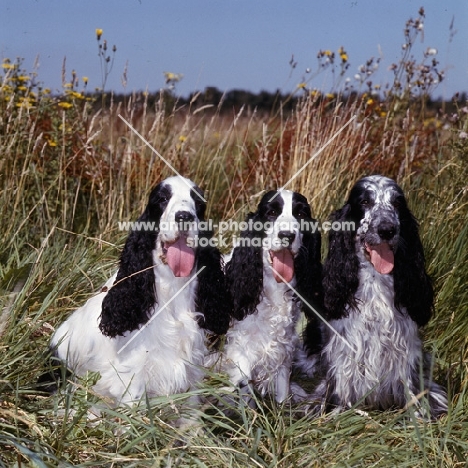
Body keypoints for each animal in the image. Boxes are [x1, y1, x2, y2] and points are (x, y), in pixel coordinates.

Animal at [300, 175, 446, 416]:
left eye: (397, 203)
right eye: (364, 202)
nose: (387, 229)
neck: (376, 280)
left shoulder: (406, 350)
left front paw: (419, 415)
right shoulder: (344, 350)